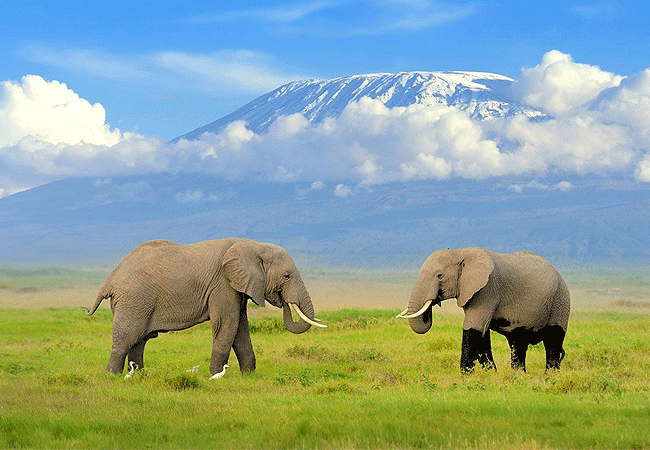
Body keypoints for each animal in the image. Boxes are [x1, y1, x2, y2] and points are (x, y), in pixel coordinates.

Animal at [86, 239, 326, 376]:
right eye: (287, 276)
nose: (283, 300)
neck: (254, 245)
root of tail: (110, 279)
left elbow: (240, 328)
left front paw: (248, 376)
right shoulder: (222, 284)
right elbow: (227, 325)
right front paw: (216, 376)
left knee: (139, 341)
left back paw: (140, 375)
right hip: (134, 301)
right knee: (126, 338)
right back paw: (111, 376)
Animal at [394, 246, 568, 372]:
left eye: (440, 276)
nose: (433, 302)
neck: (460, 253)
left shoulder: (487, 291)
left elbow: (473, 328)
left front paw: (466, 376)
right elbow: (482, 334)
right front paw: (490, 374)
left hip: (560, 300)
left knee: (553, 341)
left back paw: (550, 377)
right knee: (518, 343)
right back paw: (518, 376)